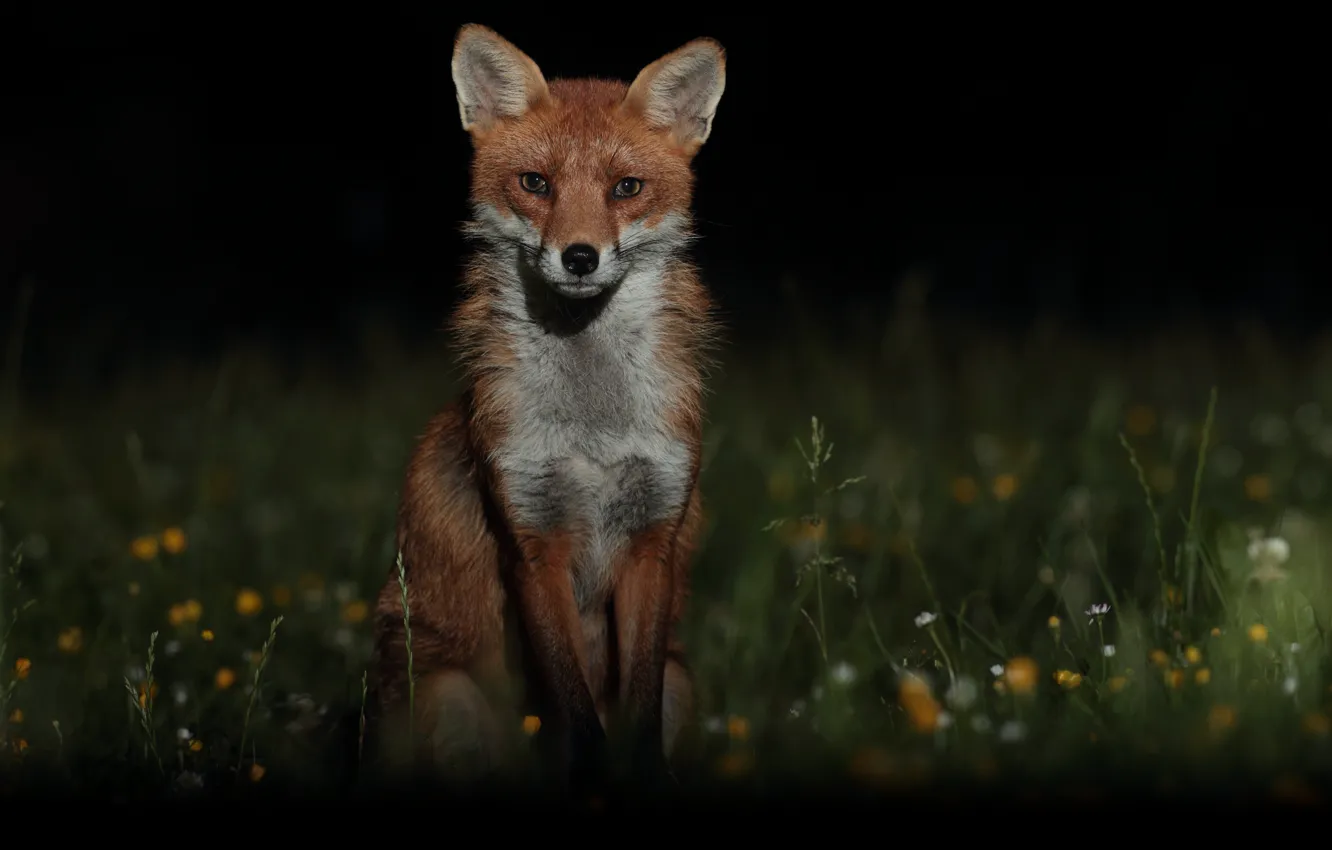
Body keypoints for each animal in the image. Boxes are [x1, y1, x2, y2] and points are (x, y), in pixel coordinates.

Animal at [364, 23, 726, 791]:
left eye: (626, 188)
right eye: (536, 183)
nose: (580, 256)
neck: (594, 434)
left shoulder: (652, 541)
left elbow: (637, 710)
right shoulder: (532, 545)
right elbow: (578, 717)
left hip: (685, 681)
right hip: (448, 696)